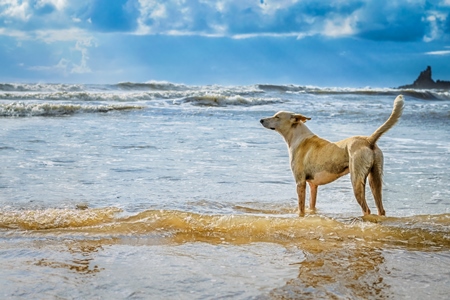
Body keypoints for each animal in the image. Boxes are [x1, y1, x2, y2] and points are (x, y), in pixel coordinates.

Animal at [260, 95, 404, 216]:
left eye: (277, 117)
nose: (261, 120)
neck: (297, 136)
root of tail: (368, 140)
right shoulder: (313, 186)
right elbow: (311, 205)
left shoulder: (300, 182)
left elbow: (301, 208)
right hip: (375, 178)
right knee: (381, 209)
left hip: (356, 180)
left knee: (366, 209)